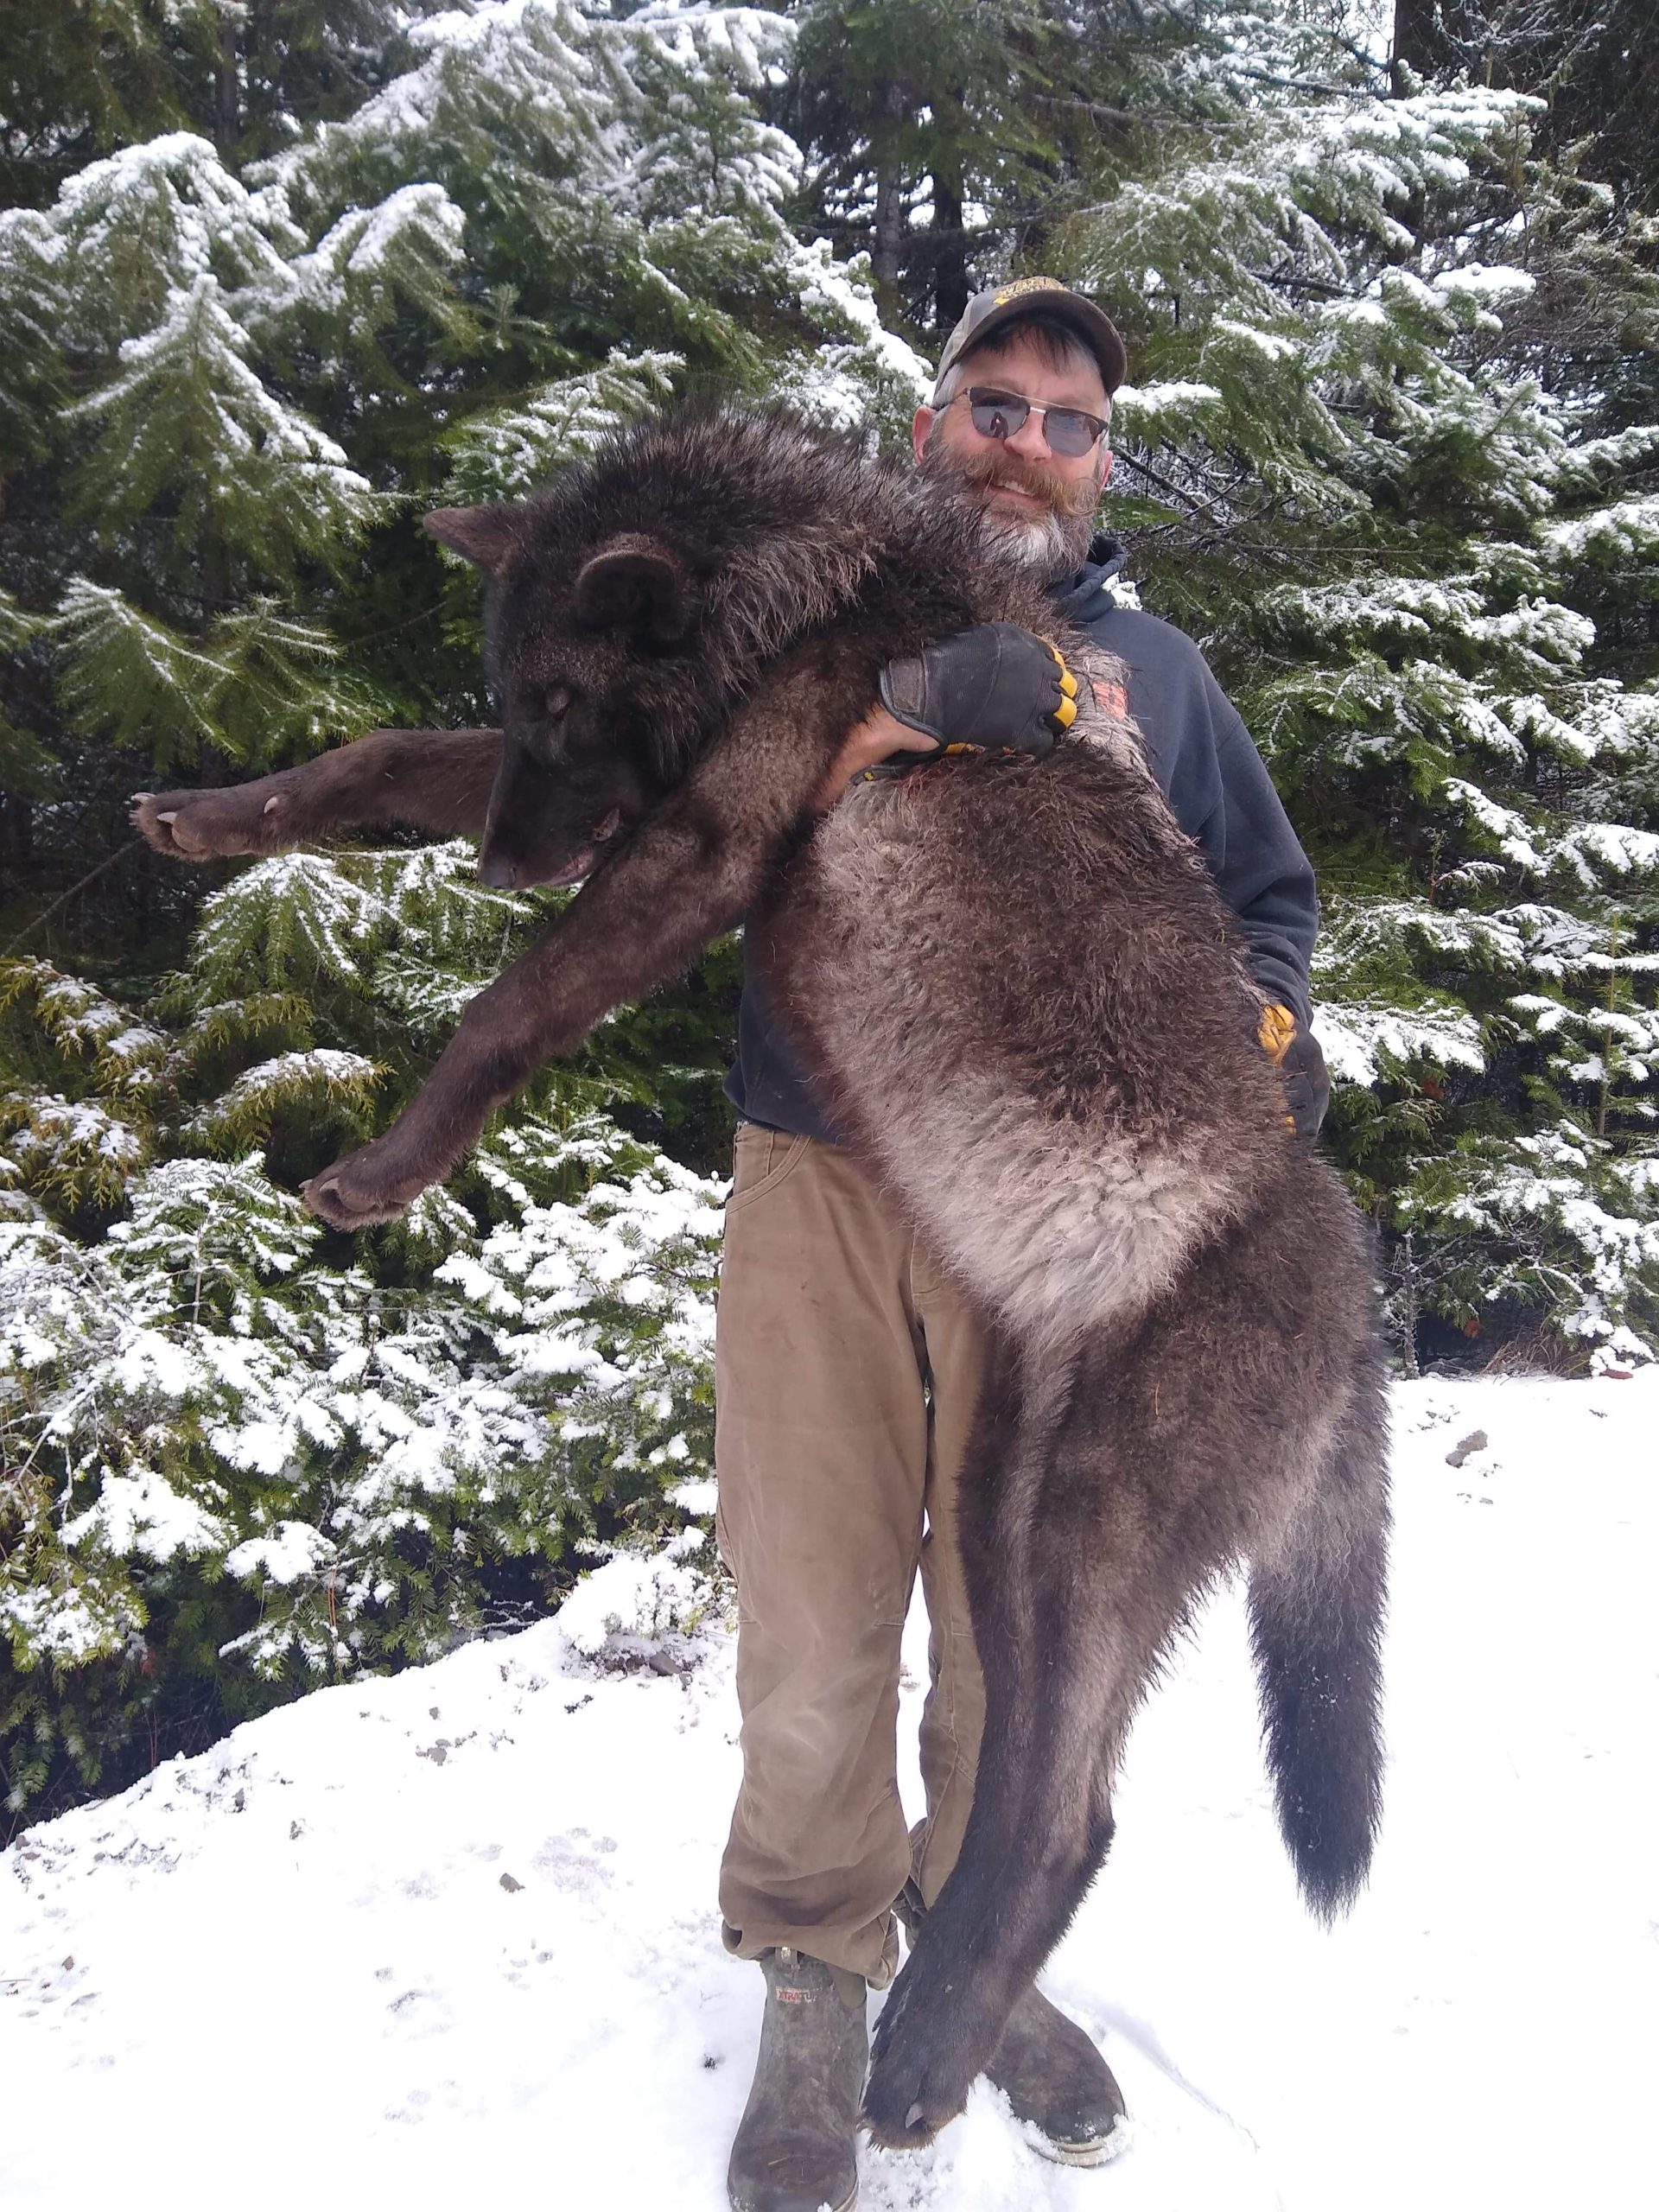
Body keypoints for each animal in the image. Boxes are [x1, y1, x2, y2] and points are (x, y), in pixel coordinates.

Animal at [137, 407, 1388, 2149]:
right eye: (515, 695)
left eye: (564, 697)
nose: (510, 866)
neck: (807, 596)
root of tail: (1364, 1311)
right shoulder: (624, 802)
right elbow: (375, 758)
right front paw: (205, 815)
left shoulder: (697, 843)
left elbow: (504, 1013)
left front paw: (389, 1170)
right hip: (1000, 1523)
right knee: (1039, 1804)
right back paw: (932, 2027)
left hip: (1084, 1544)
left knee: (1065, 1823)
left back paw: (921, 2064)